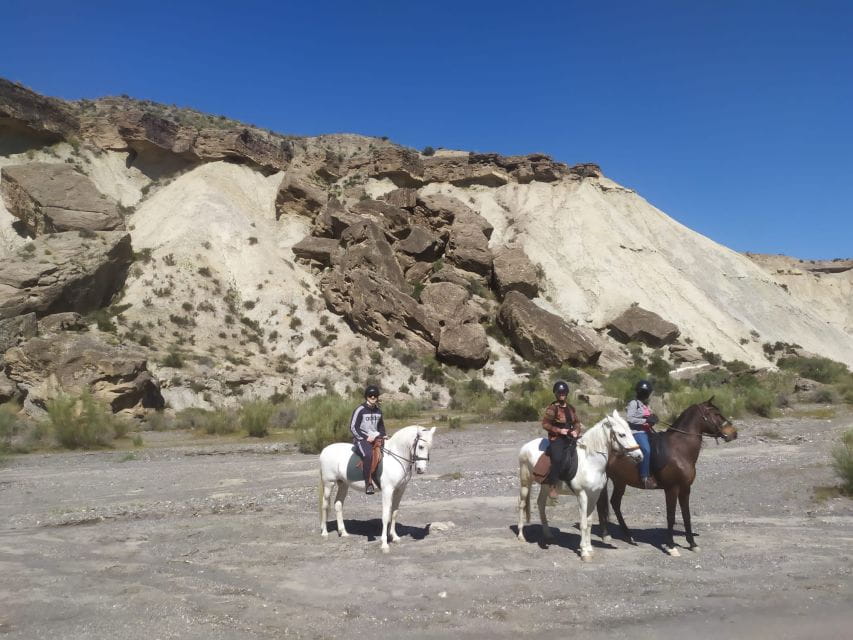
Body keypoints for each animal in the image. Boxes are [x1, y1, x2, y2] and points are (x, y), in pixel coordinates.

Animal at [319, 425, 436, 553]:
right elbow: (385, 515)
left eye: (430, 447)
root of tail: (325, 450)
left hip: (343, 484)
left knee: (338, 504)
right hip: (329, 484)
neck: (395, 457)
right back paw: (324, 533)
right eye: (421, 446)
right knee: (325, 505)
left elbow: (394, 512)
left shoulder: (400, 490)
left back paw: (343, 533)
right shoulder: (387, 490)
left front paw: (394, 537)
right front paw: (384, 543)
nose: (421, 470)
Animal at [517, 410, 643, 561]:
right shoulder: (582, 495)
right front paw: (584, 552)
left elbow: (589, 523)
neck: (590, 462)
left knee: (541, 503)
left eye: (630, 432)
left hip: (546, 486)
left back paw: (548, 535)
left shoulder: (594, 495)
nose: (639, 456)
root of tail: (525, 446)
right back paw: (521, 536)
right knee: (522, 505)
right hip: (525, 482)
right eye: (621, 434)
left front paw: (589, 549)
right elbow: (583, 523)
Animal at [597, 399, 738, 556]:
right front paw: (671, 546)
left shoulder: (685, 488)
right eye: (716, 414)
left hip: (620, 481)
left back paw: (628, 536)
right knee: (601, 505)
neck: (680, 450)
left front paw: (692, 543)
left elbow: (686, 515)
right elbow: (671, 516)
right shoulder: (672, 489)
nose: (733, 433)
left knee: (615, 503)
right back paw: (606, 536)